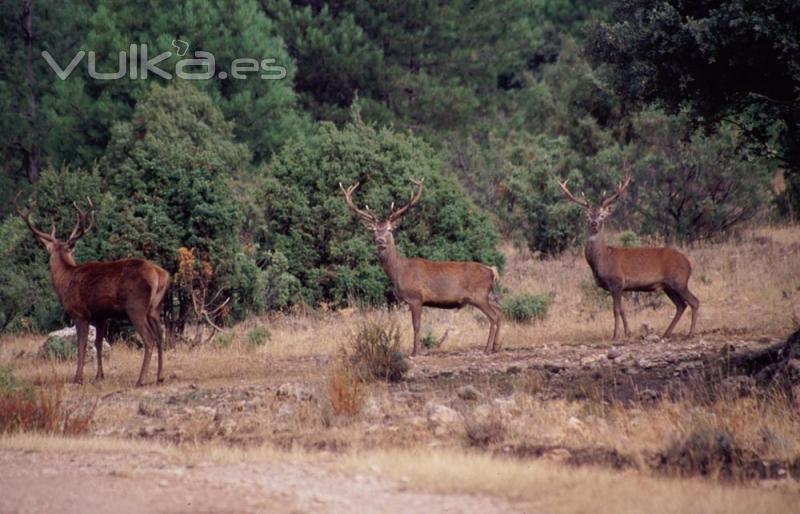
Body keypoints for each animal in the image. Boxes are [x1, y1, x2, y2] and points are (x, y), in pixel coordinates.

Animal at [15, 193, 170, 384]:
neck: (65, 282)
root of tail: (160, 275)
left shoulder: (79, 313)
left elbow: (81, 345)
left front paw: (77, 378)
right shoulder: (101, 316)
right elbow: (98, 344)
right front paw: (99, 376)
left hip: (136, 307)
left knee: (149, 339)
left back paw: (141, 380)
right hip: (155, 308)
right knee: (161, 336)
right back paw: (160, 377)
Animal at [338, 176, 500, 352]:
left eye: (389, 229)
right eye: (374, 230)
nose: (380, 240)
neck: (399, 272)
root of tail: (491, 271)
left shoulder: (416, 297)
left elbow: (416, 325)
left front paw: (416, 351)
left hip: (479, 295)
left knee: (493, 316)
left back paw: (487, 349)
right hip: (486, 295)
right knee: (499, 311)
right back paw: (495, 346)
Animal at [556, 177, 700, 340]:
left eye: (602, 215)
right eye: (587, 216)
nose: (594, 223)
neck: (602, 260)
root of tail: (689, 262)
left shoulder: (617, 281)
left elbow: (616, 310)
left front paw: (615, 335)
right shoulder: (619, 287)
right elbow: (623, 309)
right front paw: (627, 332)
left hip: (679, 281)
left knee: (694, 302)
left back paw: (690, 333)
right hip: (668, 286)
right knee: (681, 305)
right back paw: (666, 333)